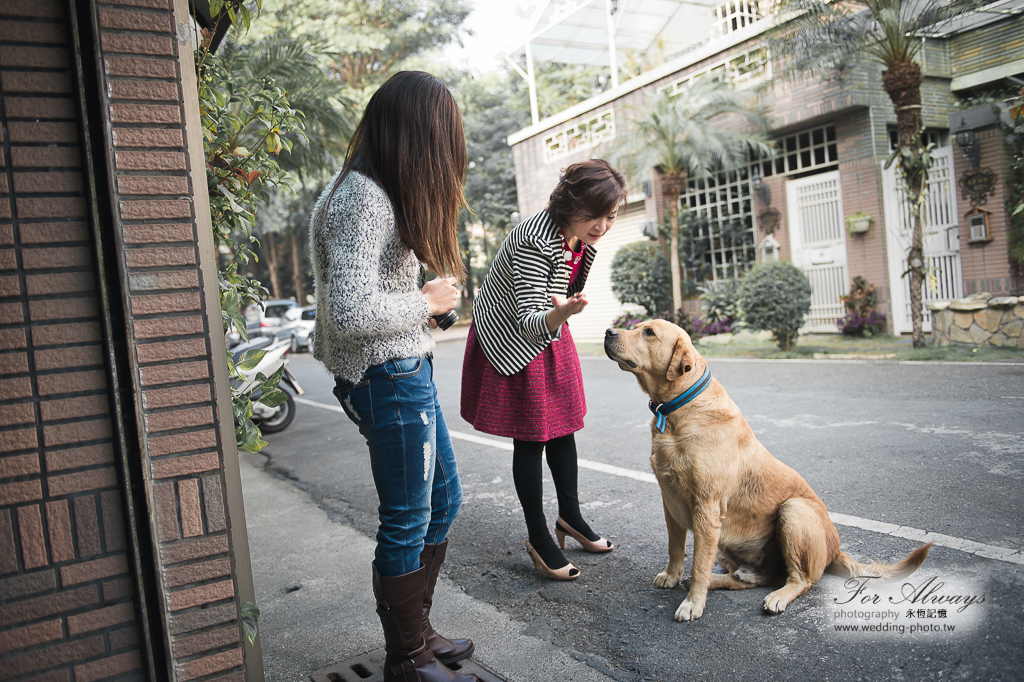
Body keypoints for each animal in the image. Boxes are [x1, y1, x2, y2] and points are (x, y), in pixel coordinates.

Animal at [602, 317, 933, 614]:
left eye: (648, 332)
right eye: (636, 326)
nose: (608, 331)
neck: (678, 409)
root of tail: (835, 550)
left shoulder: (707, 507)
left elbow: (698, 564)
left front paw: (693, 604)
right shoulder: (670, 500)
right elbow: (675, 547)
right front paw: (672, 576)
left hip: (793, 511)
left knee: (800, 579)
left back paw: (776, 596)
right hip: (728, 543)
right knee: (752, 578)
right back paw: (725, 580)